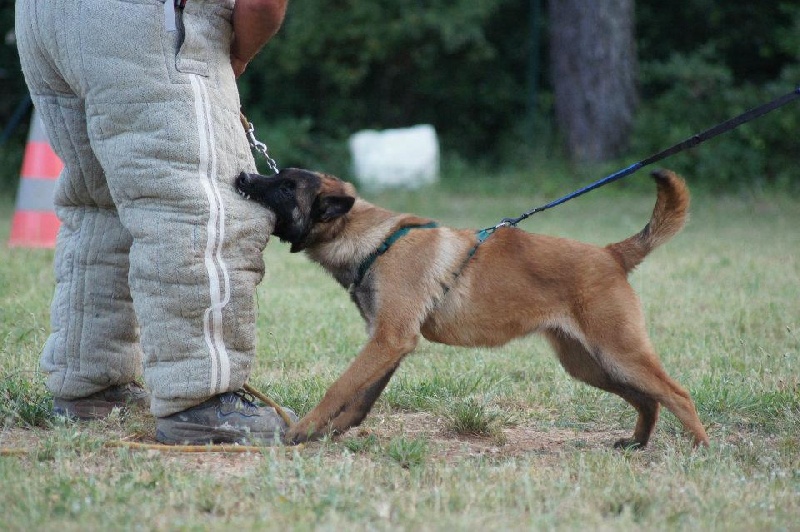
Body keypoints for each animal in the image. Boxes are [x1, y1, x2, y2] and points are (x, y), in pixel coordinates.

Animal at [234, 167, 708, 448]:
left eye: (284, 186)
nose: (242, 175)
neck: (373, 240)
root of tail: (611, 254)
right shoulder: (388, 343)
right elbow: (361, 398)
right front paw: (329, 432)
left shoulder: (388, 340)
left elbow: (340, 387)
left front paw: (303, 429)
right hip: (590, 365)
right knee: (648, 400)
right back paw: (637, 443)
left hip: (619, 352)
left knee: (677, 394)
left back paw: (700, 449)